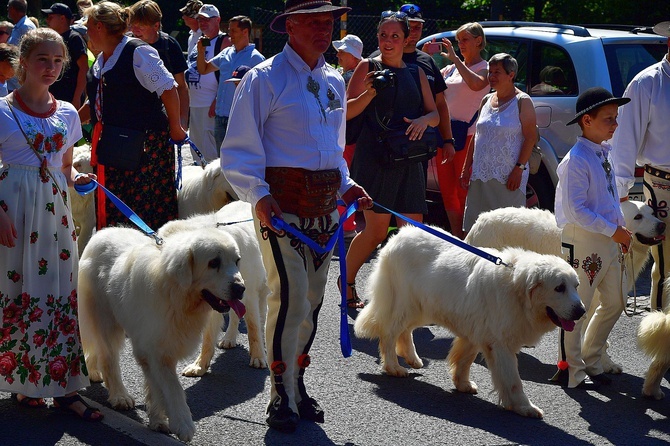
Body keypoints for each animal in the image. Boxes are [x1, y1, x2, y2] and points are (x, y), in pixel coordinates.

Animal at [79, 225, 247, 440]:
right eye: (214, 263)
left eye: (237, 261)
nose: (240, 288)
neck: (177, 294)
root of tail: (100, 233)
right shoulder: (156, 350)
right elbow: (173, 387)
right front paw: (183, 423)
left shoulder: (160, 349)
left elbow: (157, 387)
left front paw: (158, 421)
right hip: (106, 321)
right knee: (109, 359)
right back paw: (119, 396)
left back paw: (93, 372)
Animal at [160, 201, 270, 372]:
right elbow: (208, 336)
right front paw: (199, 365)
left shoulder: (249, 292)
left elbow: (253, 326)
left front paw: (258, 357)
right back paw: (229, 338)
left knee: (261, 313)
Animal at [356, 226, 588, 418]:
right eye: (559, 288)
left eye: (576, 286)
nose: (582, 311)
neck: (518, 290)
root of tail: (399, 235)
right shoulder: (501, 345)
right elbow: (513, 381)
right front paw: (524, 407)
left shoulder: (477, 334)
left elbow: (464, 360)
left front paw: (462, 384)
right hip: (406, 305)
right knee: (389, 334)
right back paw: (394, 367)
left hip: (423, 307)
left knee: (405, 331)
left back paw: (412, 358)